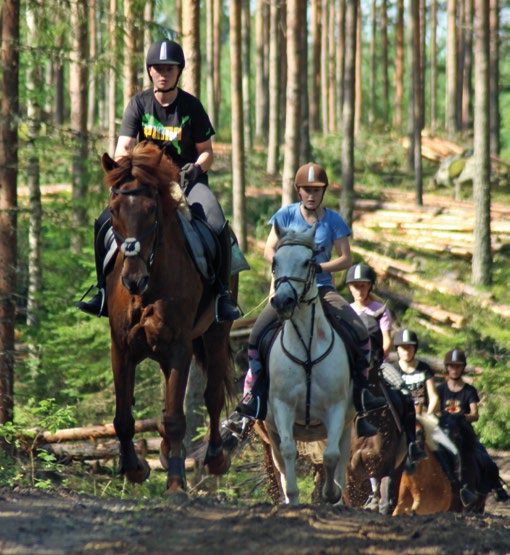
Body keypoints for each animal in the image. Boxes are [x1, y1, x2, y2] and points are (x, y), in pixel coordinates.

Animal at [102, 142, 237, 496]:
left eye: (152, 210)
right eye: (114, 209)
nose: (133, 280)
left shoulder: (179, 347)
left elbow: (176, 417)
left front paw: (176, 484)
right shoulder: (122, 348)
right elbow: (124, 418)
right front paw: (135, 469)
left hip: (216, 333)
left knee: (212, 397)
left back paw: (215, 458)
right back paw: (164, 453)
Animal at [264, 224, 356, 506]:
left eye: (307, 262)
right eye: (275, 262)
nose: (282, 301)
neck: (306, 346)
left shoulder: (336, 407)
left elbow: (331, 455)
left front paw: (330, 493)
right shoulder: (282, 405)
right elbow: (288, 451)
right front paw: (293, 497)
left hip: (347, 424)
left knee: (341, 459)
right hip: (271, 429)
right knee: (281, 462)